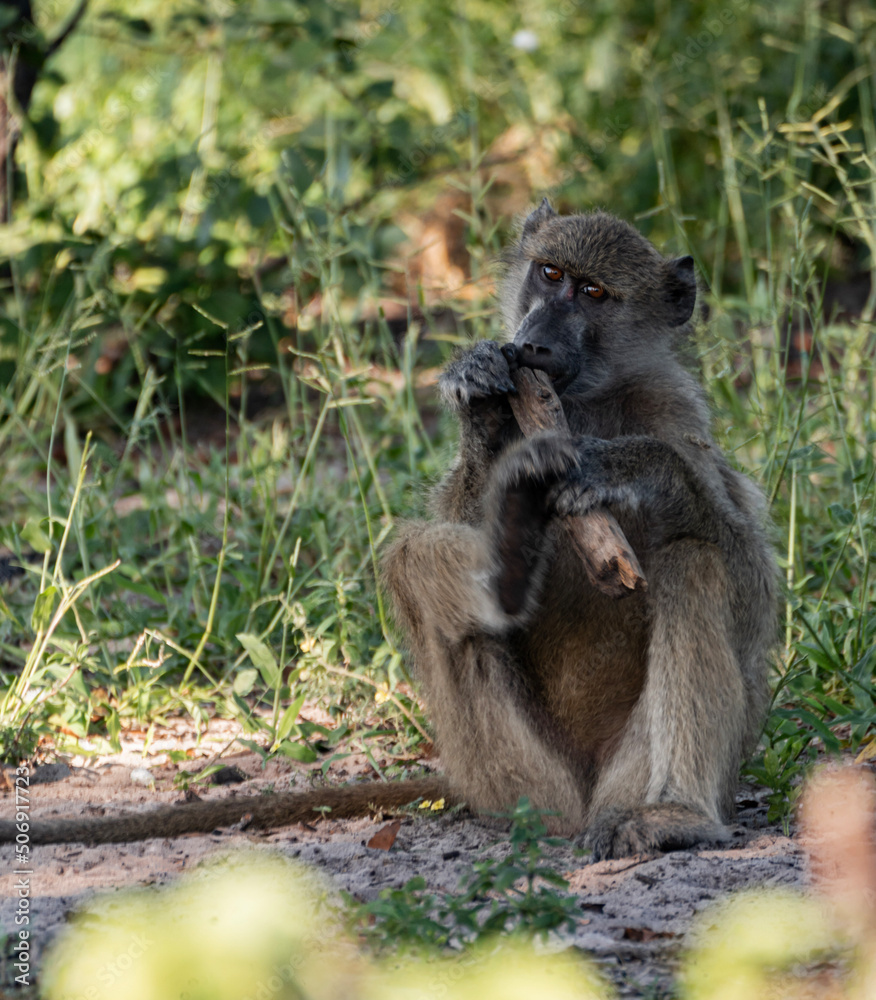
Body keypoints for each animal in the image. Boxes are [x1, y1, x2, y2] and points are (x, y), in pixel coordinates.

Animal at [0, 203, 775, 855]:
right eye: (549, 275)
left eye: (591, 294)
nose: (534, 343)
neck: (582, 402)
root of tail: (577, 807)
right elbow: (454, 509)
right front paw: (482, 402)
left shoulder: (674, 410)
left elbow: (742, 560)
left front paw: (619, 465)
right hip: (512, 780)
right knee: (413, 558)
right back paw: (504, 557)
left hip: (622, 777)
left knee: (695, 560)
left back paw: (675, 815)